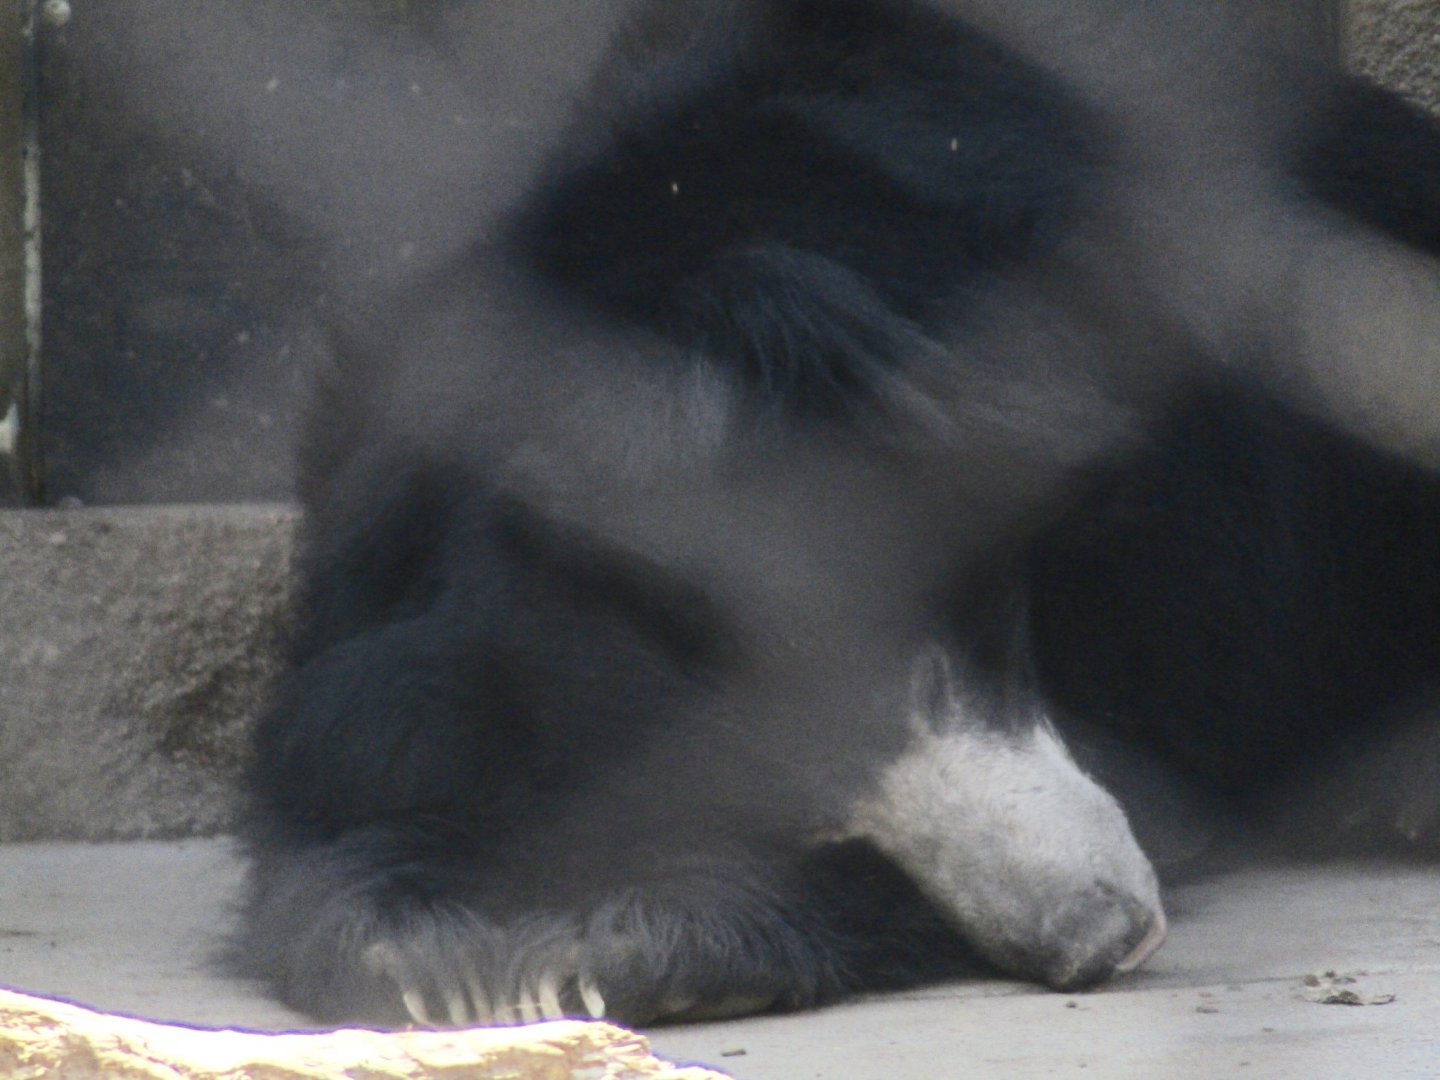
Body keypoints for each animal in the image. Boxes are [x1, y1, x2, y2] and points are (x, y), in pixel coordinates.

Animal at [233, 0, 1440, 1027]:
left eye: (949, 660)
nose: (1102, 934)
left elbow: (1162, 769)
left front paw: (609, 946)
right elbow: (347, 768)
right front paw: (430, 949)